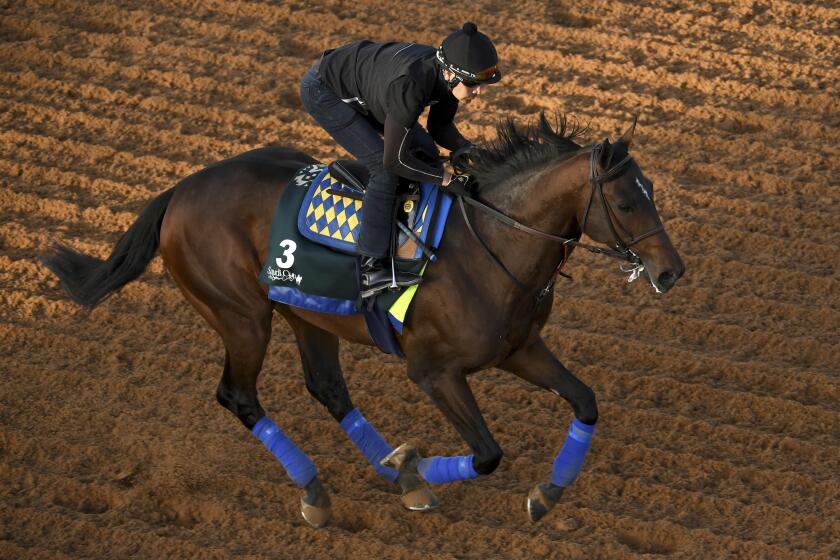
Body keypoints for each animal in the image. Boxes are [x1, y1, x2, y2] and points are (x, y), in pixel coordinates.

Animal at [37, 115, 684, 528]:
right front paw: (411, 464)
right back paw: (318, 491)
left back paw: (383, 480)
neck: (490, 247)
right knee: (238, 395)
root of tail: (178, 191)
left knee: (327, 388)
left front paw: (545, 494)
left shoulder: (519, 348)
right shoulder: (434, 372)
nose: (671, 270)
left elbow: (586, 401)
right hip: (242, 316)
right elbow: (487, 453)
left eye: (652, 191)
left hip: (306, 315)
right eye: (627, 201)